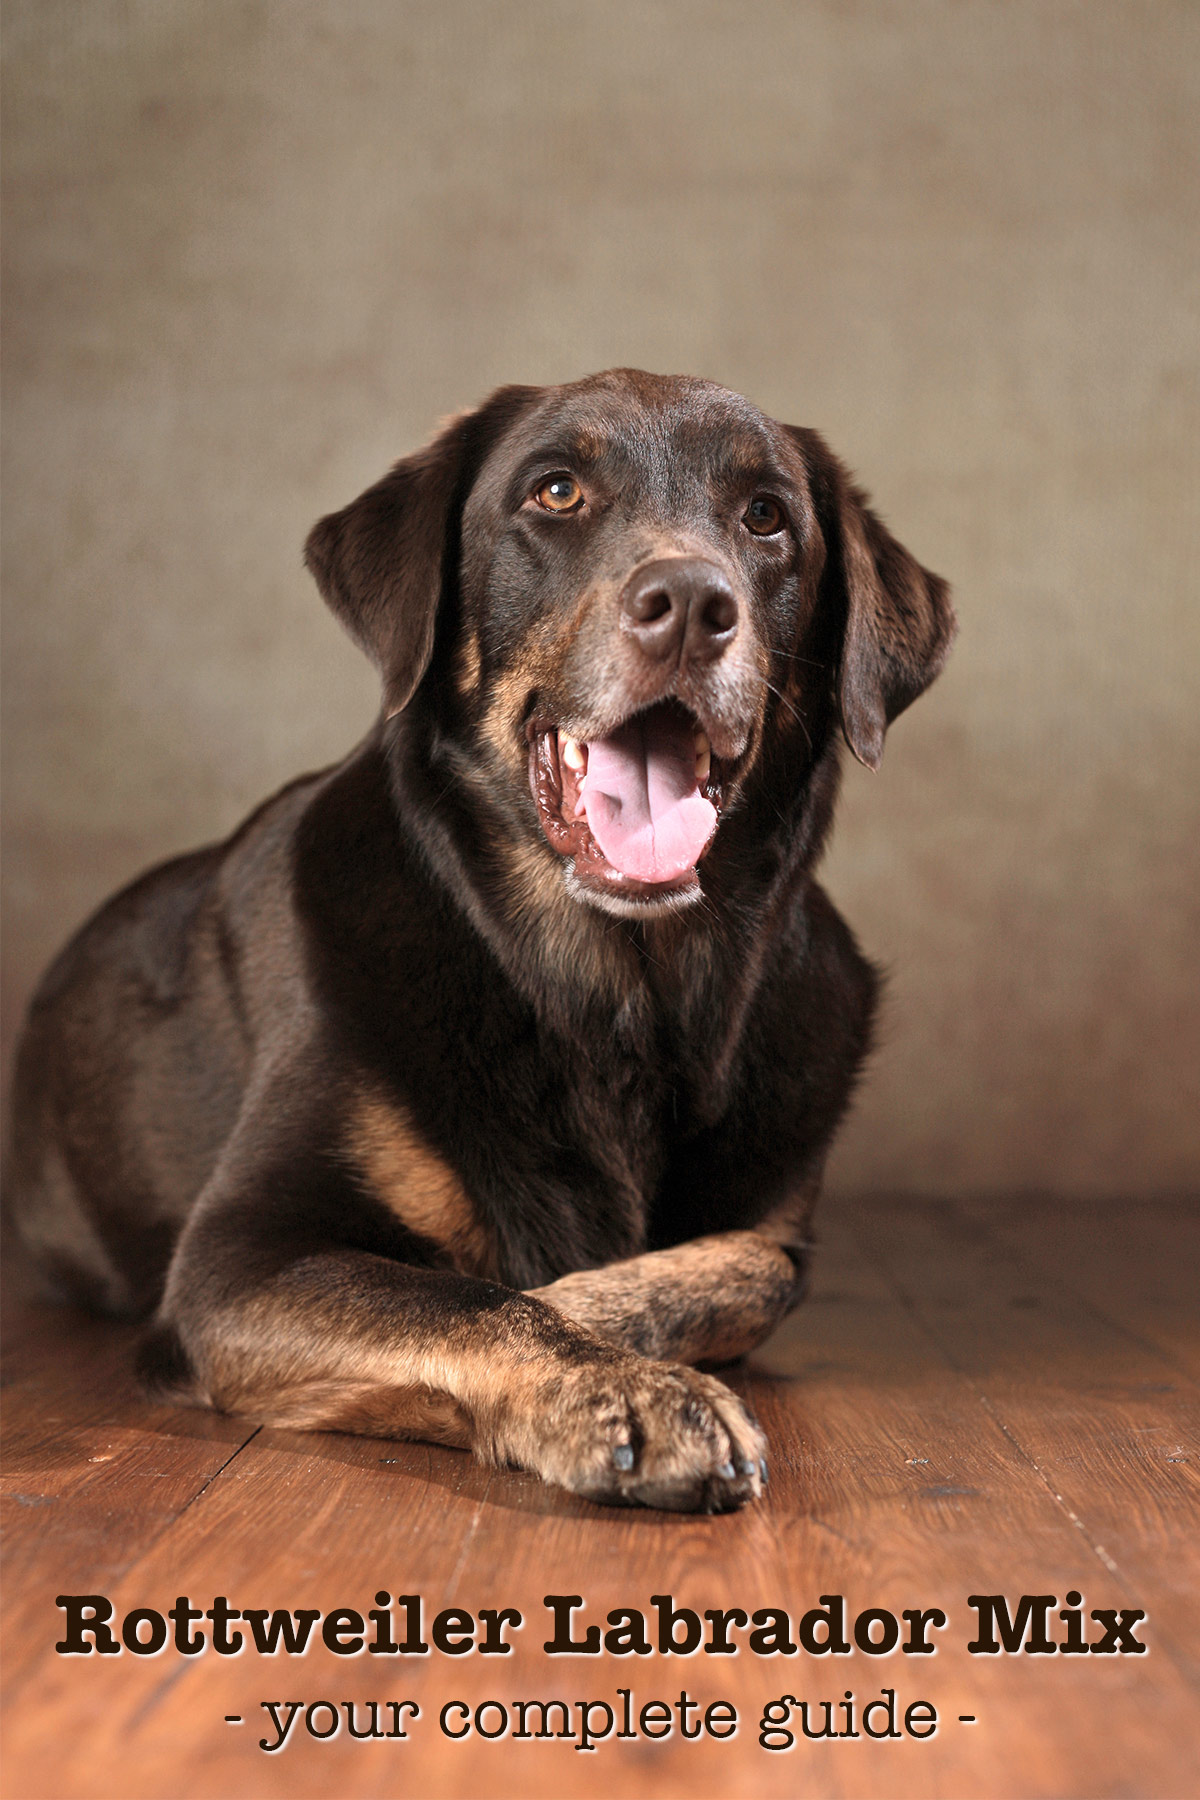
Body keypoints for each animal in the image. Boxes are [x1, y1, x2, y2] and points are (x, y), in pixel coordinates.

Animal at [4, 372, 949, 1512]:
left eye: (766, 516)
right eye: (555, 492)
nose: (691, 603)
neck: (614, 999)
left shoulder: (779, 1226)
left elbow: (752, 1271)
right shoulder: (242, 1252)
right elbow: (471, 1299)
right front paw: (624, 1389)